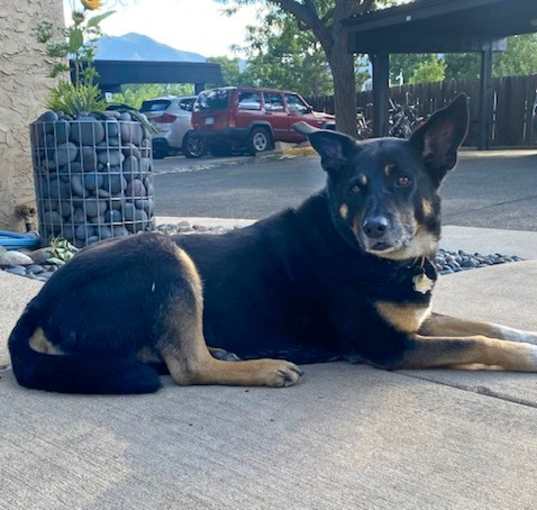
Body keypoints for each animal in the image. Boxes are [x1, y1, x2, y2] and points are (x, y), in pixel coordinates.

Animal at [7, 95, 536, 396]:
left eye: (404, 180)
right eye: (356, 188)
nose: (376, 229)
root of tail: (40, 300)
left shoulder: (416, 319)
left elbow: (485, 325)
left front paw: (528, 336)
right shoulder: (388, 344)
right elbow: (477, 340)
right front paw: (530, 358)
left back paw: (232, 354)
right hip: (161, 252)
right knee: (187, 368)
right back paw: (263, 368)